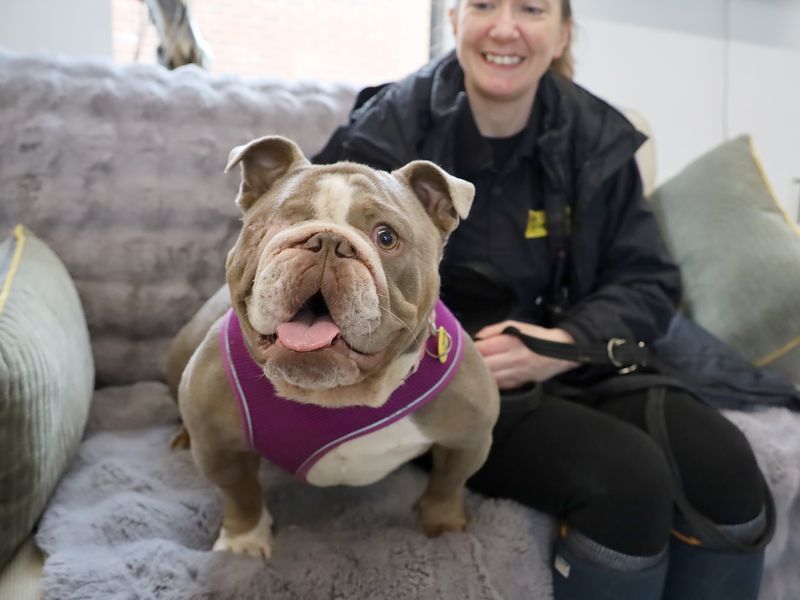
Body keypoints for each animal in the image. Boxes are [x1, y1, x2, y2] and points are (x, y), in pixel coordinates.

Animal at [166, 135, 496, 556]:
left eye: (386, 237)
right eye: (284, 220)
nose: (327, 240)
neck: (333, 394)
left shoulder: (470, 438)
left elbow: (448, 485)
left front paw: (444, 528)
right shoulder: (218, 446)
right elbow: (240, 493)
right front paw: (243, 543)